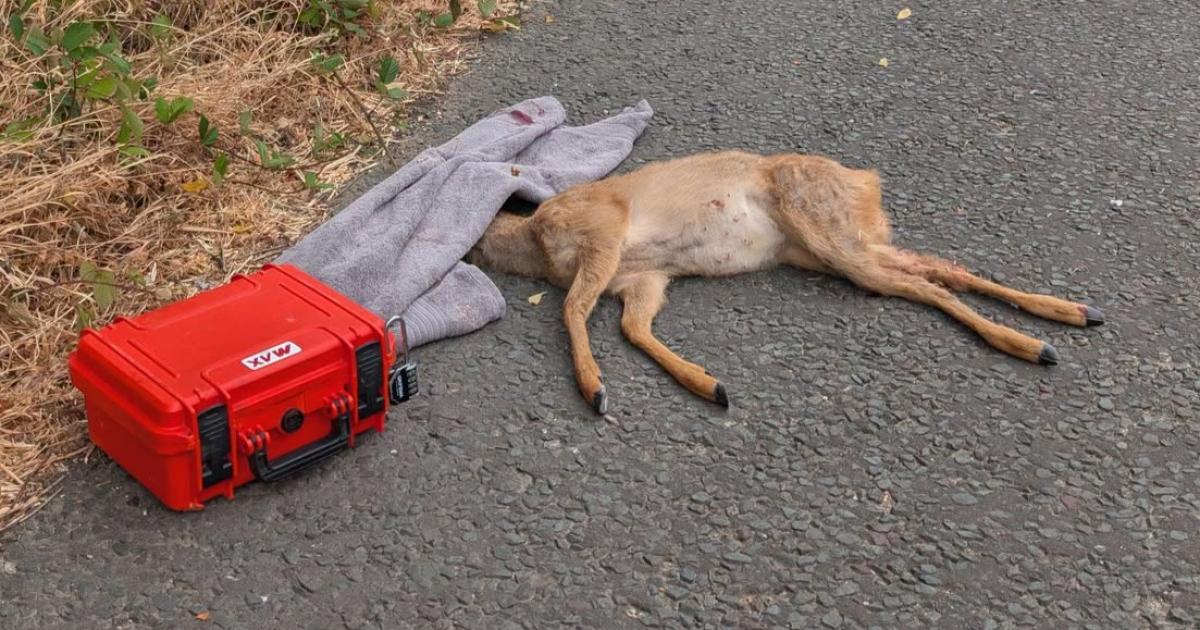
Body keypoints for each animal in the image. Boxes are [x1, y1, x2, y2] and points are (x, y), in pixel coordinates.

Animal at [467, 150, 1105, 414]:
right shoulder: (641, 278)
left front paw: (594, 388)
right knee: (935, 268)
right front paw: (707, 384)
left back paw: (1034, 341)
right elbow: (632, 327)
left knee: (928, 284)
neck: (535, 245)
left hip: (821, 226)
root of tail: (865, 182)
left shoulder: (604, 232)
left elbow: (571, 311)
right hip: (826, 247)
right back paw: (1068, 315)